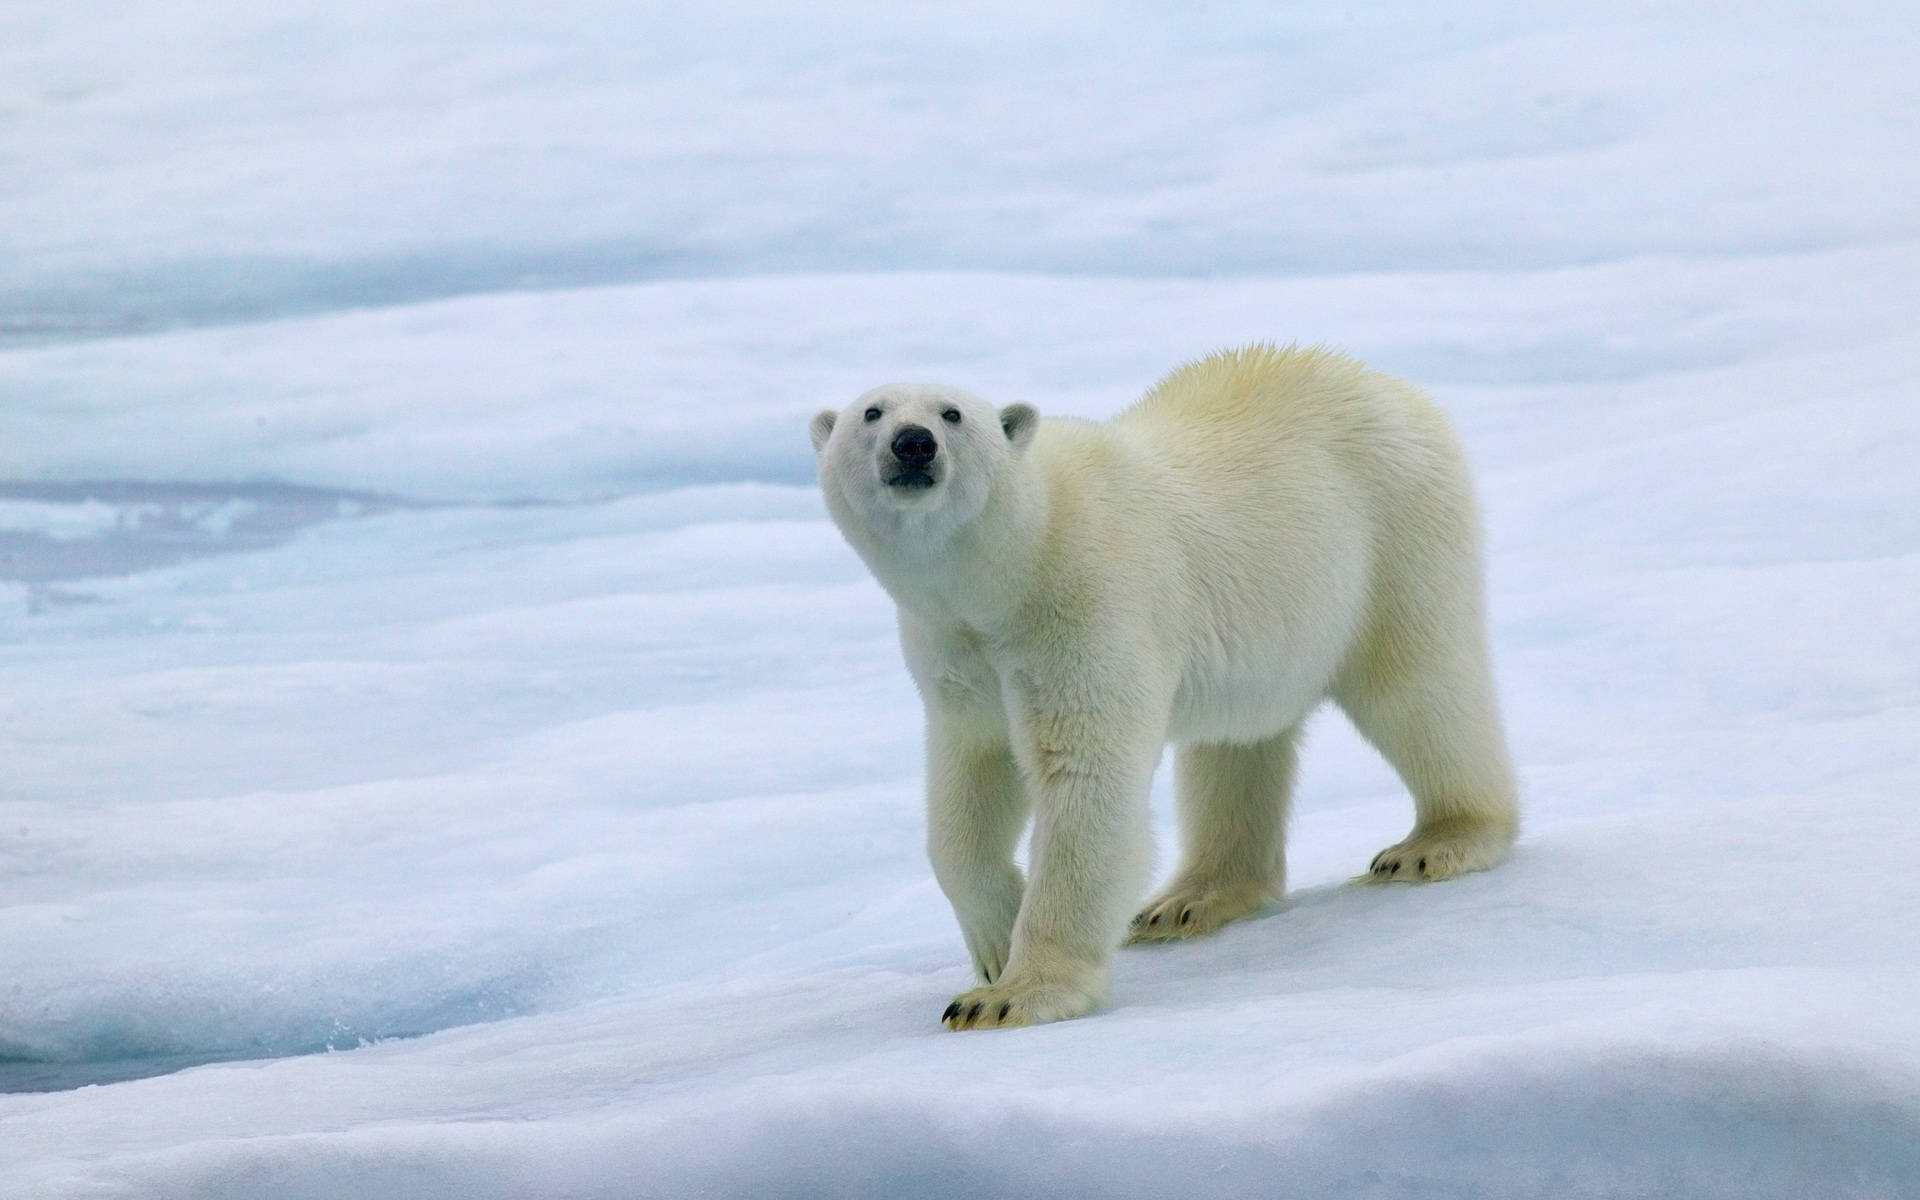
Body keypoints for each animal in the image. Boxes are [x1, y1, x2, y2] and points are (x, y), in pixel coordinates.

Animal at [806, 341, 1512, 1021]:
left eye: (953, 413)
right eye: (871, 412)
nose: (913, 442)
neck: (1015, 564)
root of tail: (1389, 385)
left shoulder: (1085, 607)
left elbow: (1084, 780)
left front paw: (1009, 997)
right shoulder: (956, 648)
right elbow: (971, 780)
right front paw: (995, 943)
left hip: (1395, 538)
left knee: (1417, 691)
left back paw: (1436, 842)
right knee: (1234, 745)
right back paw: (1188, 900)